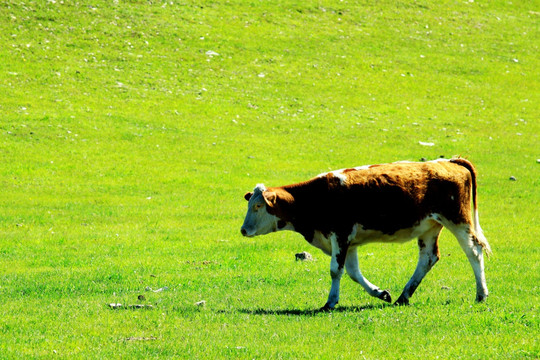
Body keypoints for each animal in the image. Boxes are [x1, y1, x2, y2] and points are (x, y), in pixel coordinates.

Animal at [239, 158, 490, 310]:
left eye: (258, 206)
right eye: (250, 204)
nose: (243, 230)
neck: (317, 197)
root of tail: (448, 161)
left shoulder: (340, 235)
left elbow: (335, 271)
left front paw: (330, 302)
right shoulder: (349, 242)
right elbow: (352, 272)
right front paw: (381, 293)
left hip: (458, 220)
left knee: (474, 252)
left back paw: (481, 294)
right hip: (429, 226)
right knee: (428, 258)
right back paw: (403, 296)